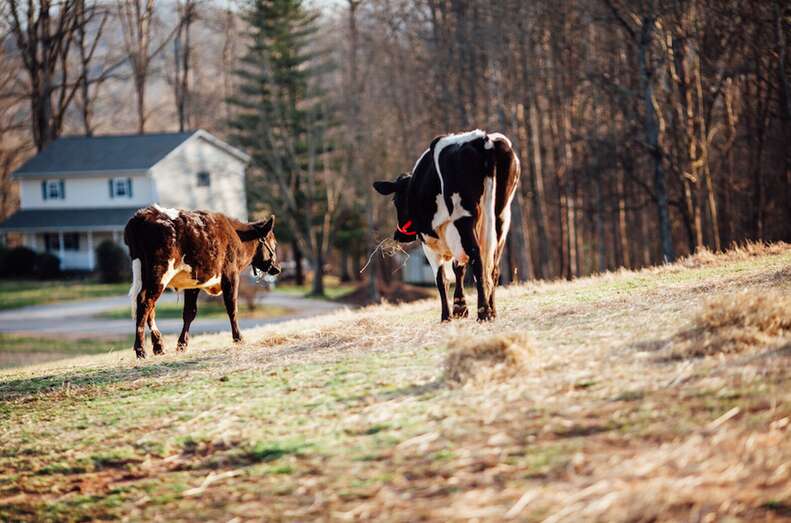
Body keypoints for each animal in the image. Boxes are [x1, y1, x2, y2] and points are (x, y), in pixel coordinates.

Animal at [124, 204, 280, 359]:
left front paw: (182, 345)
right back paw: (141, 350)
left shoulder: (193, 283)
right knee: (145, 303)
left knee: (149, 306)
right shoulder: (231, 275)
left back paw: (158, 346)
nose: (277, 268)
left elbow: (189, 313)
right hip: (159, 272)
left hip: (144, 274)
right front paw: (238, 338)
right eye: (274, 242)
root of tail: (144, 214)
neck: (237, 236)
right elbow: (232, 308)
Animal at [373, 129, 520, 322]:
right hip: (501, 216)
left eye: (396, 201)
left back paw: (483, 313)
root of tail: (482, 139)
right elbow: (458, 269)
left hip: (463, 218)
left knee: (478, 258)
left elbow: (441, 278)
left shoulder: (430, 242)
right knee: (493, 265)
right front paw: (460, 308)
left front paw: (447, 316)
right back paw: (492, 311)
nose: (399, 236)